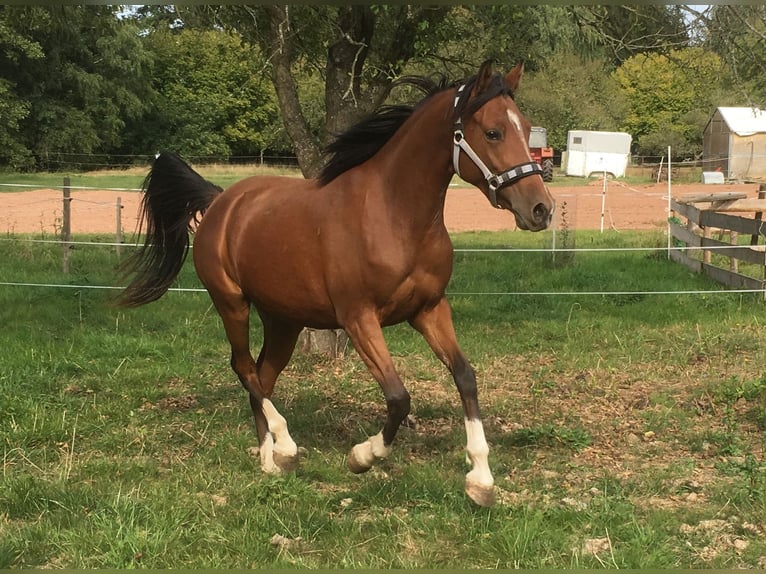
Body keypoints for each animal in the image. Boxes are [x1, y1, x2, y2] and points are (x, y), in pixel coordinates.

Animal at [118, 60, 554, 507]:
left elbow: (465, 376)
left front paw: (480, 480)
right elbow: (398, 397)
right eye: (493, 132)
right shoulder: (359, 317)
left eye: (526, 127)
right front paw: (362, 456)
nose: (541, 209)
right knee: (244, 368)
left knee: (263, 374)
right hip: (231, 303)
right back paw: (287, 448)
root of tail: (221, 201)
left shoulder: (430, 309)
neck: (395, 215)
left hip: (283, 320)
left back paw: (270, 460)